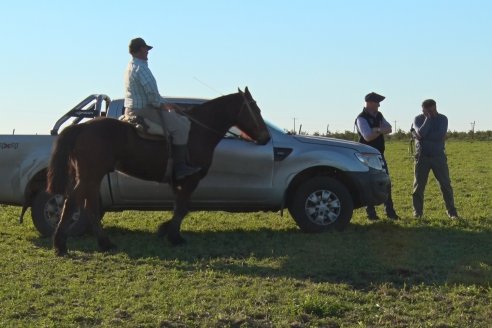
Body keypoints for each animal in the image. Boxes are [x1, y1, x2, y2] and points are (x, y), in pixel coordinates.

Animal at [46, 88, 270, 256]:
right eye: (255, 108)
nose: (266, 137)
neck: (196, 132)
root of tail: (82, 128)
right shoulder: (191, 179)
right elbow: (183, 209)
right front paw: (173, 236)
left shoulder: (179, 182)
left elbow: (179, 207)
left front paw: (167, 231)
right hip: (90, 175)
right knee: (74, 202)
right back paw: (64, 244)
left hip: (89, 176)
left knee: (84, 204)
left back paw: (96, 243)